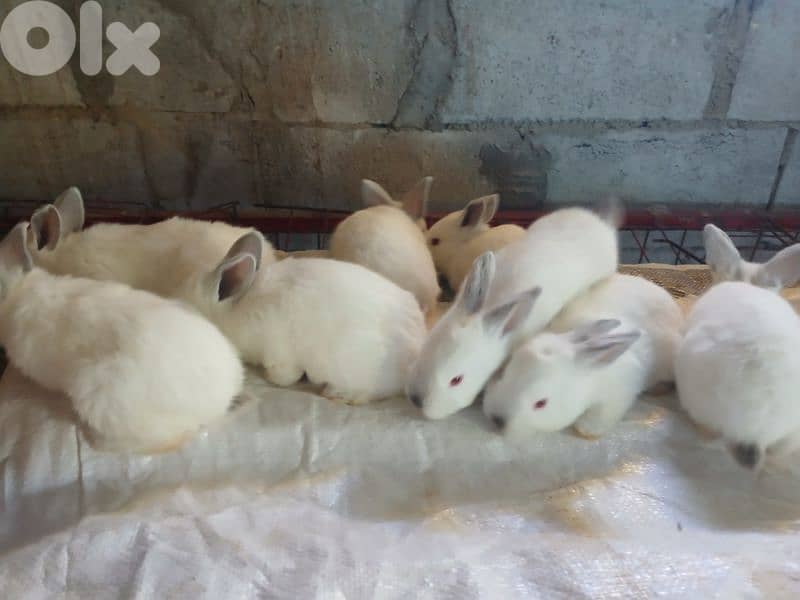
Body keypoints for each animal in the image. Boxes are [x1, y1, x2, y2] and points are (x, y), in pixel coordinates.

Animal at [483, 273, 684, 438]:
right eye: (502, 374)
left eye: (541, 403)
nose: (497, 420)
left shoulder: (618, 394)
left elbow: (602, 417)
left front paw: (585, 431)